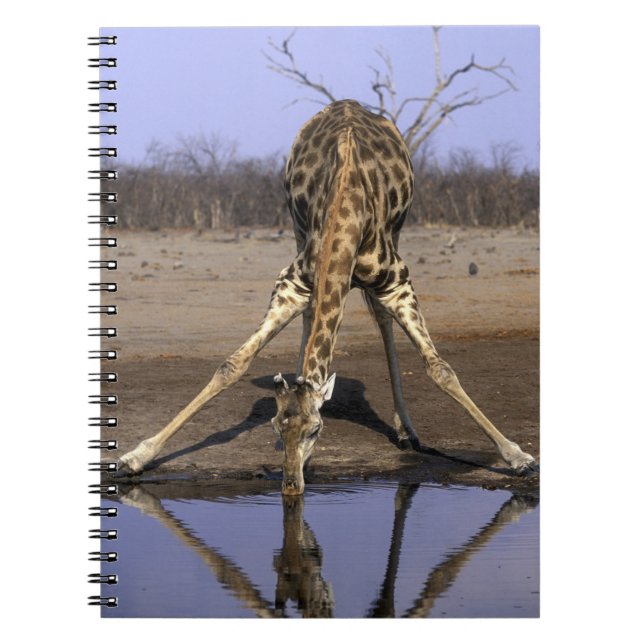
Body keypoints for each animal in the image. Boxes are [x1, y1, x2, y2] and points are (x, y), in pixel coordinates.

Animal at [117, 100, 538, 494]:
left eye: (315, 430)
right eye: (276, 427)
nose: (291, 485)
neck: (346, 208)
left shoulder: (397, 282)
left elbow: (441, 370)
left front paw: (518, 457)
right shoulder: (293, 282)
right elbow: (232, 365)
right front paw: (135, 457)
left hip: (396, 237)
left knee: (382, 320)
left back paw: (406, 431)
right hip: (296, 227)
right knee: (314, 315)